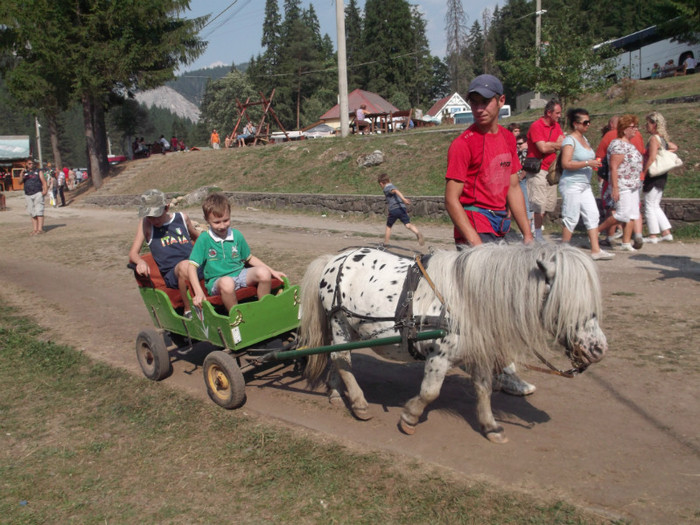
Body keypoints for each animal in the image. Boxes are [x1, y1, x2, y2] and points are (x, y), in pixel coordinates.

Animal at [300, 244, 608, 444]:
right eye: (566, 303)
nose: (598, 349)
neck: (467, 299)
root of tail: (334, 258)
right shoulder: (439, 356)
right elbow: (430, 392)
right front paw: (410, 417)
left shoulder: (480, 353)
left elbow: (483, 389)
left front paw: (490, 426)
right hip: (339, 321)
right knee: (343, 361)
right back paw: (360, 403)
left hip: (347, 330)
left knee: (338, 359)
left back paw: (337, 393)